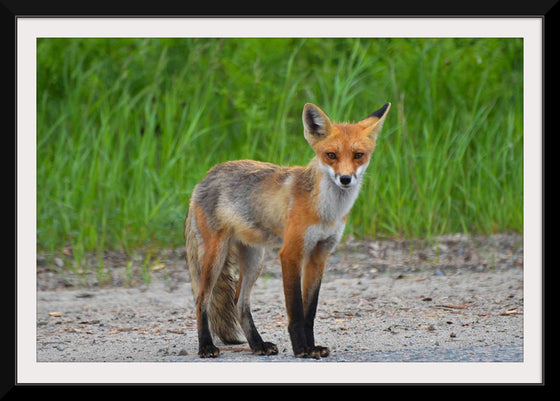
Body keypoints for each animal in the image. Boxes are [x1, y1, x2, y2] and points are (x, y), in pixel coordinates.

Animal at [184, 101, 390, 358]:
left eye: (358, 155)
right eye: (331, 155)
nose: (345, 179)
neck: (326, 211)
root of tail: (204, 177)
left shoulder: (319, 254)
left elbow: (310, 311)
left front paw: (312, 346)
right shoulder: (291, 253)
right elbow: (296, 310)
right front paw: (301, 348)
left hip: (255, 258)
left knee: (239, 302)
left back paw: (257, 344)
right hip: (216, 255)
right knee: (201, 299)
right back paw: (206, 345)